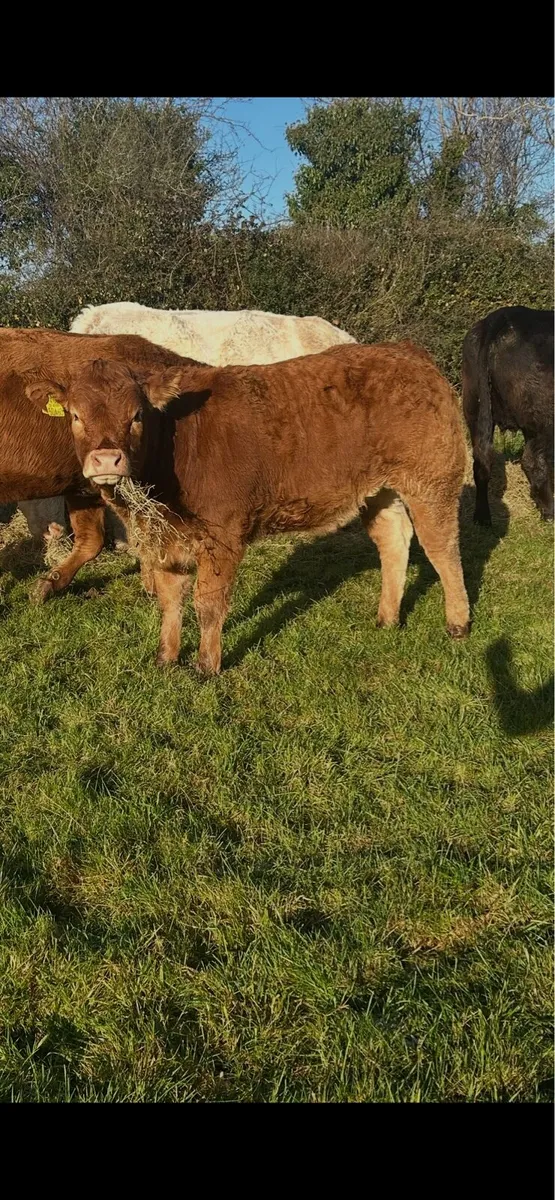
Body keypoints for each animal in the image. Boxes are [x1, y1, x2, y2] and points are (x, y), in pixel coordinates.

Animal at [0, 327, 184, 599]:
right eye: (75, 415)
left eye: (136, 415)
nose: (107, 460)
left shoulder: (81, 486)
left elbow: (91, 541)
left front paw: (50, 583)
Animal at [23, 340, 471, 674]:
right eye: (75, 415)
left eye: (136, 416)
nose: (106, 460)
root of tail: (409, 352)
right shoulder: (165, 536)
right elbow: (170, 597)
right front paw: (166, 657)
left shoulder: (222, 533)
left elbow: (208, 602)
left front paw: (206, 665)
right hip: (379, 490)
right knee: (393, 540)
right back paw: (386, 618)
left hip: (432, 480)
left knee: (443, 548)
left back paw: (458, 623)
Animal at [462, 306, 554, 524]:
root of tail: (501, 317)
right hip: (544, 418)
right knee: (534, 461)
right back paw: (549, 511)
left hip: (474, 407)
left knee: (482, 459)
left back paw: (483, 517)